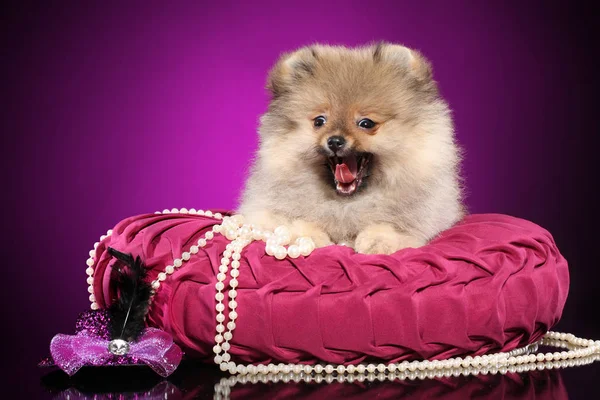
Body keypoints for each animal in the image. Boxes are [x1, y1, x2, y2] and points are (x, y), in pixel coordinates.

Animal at [237, 42, 462, 255]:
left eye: (366, 123)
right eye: (319, 121)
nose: (335, 141)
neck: (346, 203)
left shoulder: (424, 220)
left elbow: (391, 227)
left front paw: (377, 240)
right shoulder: (264, 211)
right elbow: (292, 224)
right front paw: (309, 237)